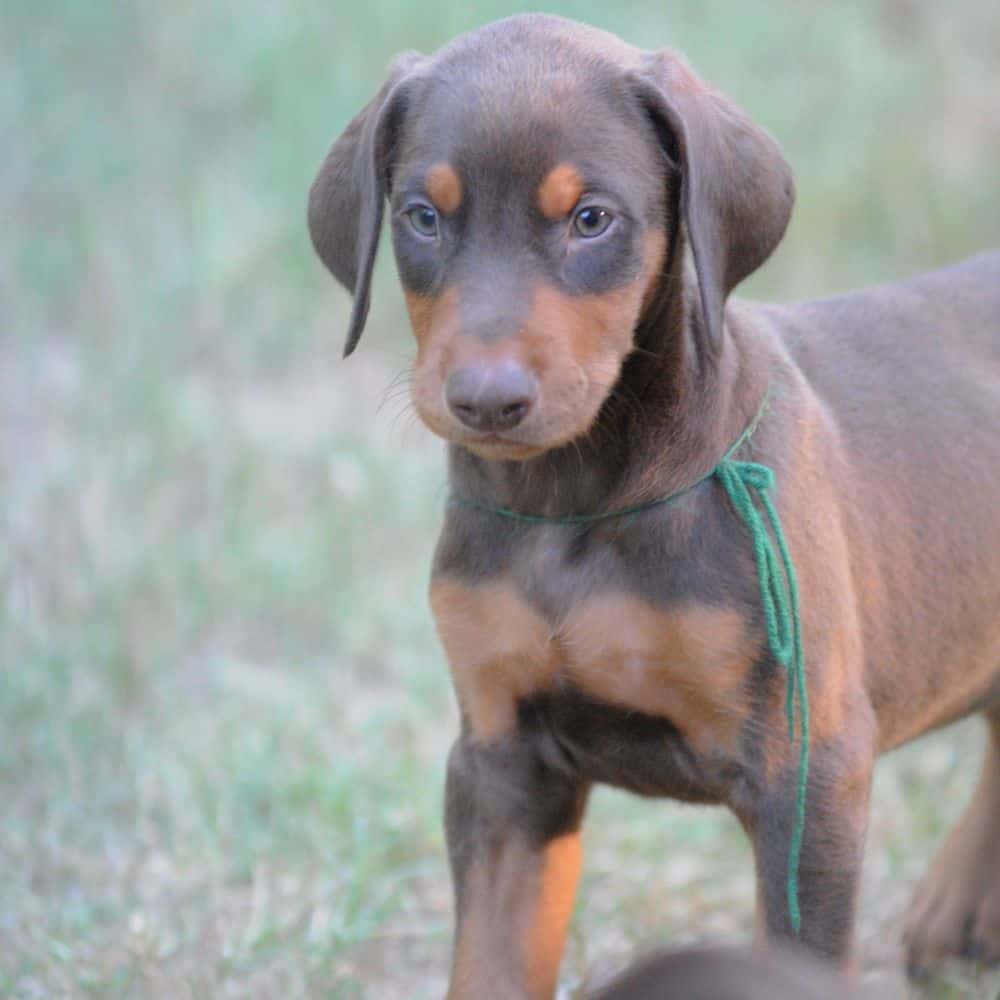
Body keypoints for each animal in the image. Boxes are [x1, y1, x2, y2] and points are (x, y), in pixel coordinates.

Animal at [306, 11, 1000, 996]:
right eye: (423, 217)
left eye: (591, 219)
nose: (485, 401)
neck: (577, 503)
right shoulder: (502, 763)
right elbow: (488, 964)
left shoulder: (805, 772)